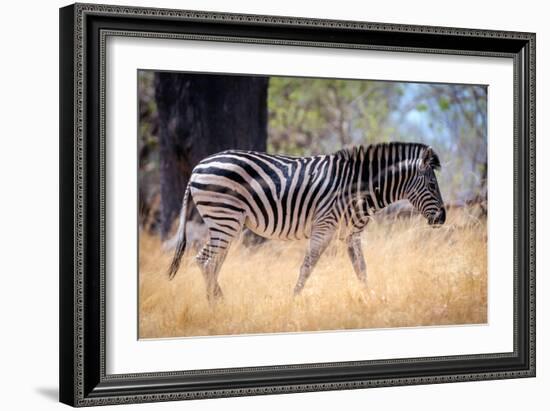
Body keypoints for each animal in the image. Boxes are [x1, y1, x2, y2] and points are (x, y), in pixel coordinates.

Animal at [166, 142, 446, 302]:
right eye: (433, 185)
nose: (443, 218)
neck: (359, 188)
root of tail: (197, 167)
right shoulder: (324, 226)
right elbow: (307, 267)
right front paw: (293, 301)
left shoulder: (351, 234)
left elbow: (362, 270)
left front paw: (372, 300)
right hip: (224, 218)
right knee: (205, 260)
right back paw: (218, 305)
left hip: (227, 223)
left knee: (213, 263)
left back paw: (218, 303)